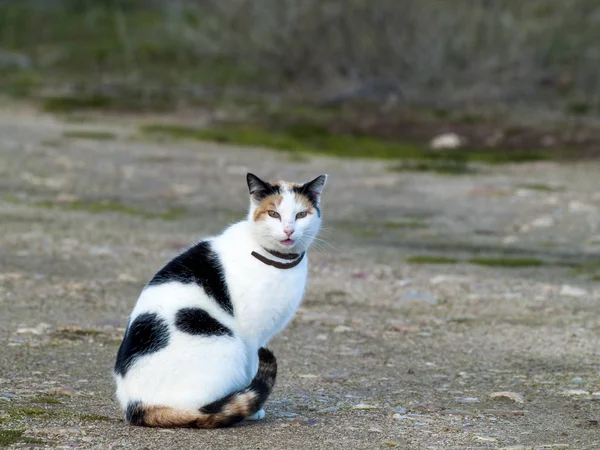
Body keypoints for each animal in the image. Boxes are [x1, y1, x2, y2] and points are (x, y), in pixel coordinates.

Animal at [112, 172, 328, 428]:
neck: (277, 260)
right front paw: (253, 409)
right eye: (273, 214)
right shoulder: (251, 336)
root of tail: (133, 406)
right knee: (200, 412)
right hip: (226, 342)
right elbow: (252, 368)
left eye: (301, 215)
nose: (288, 230)